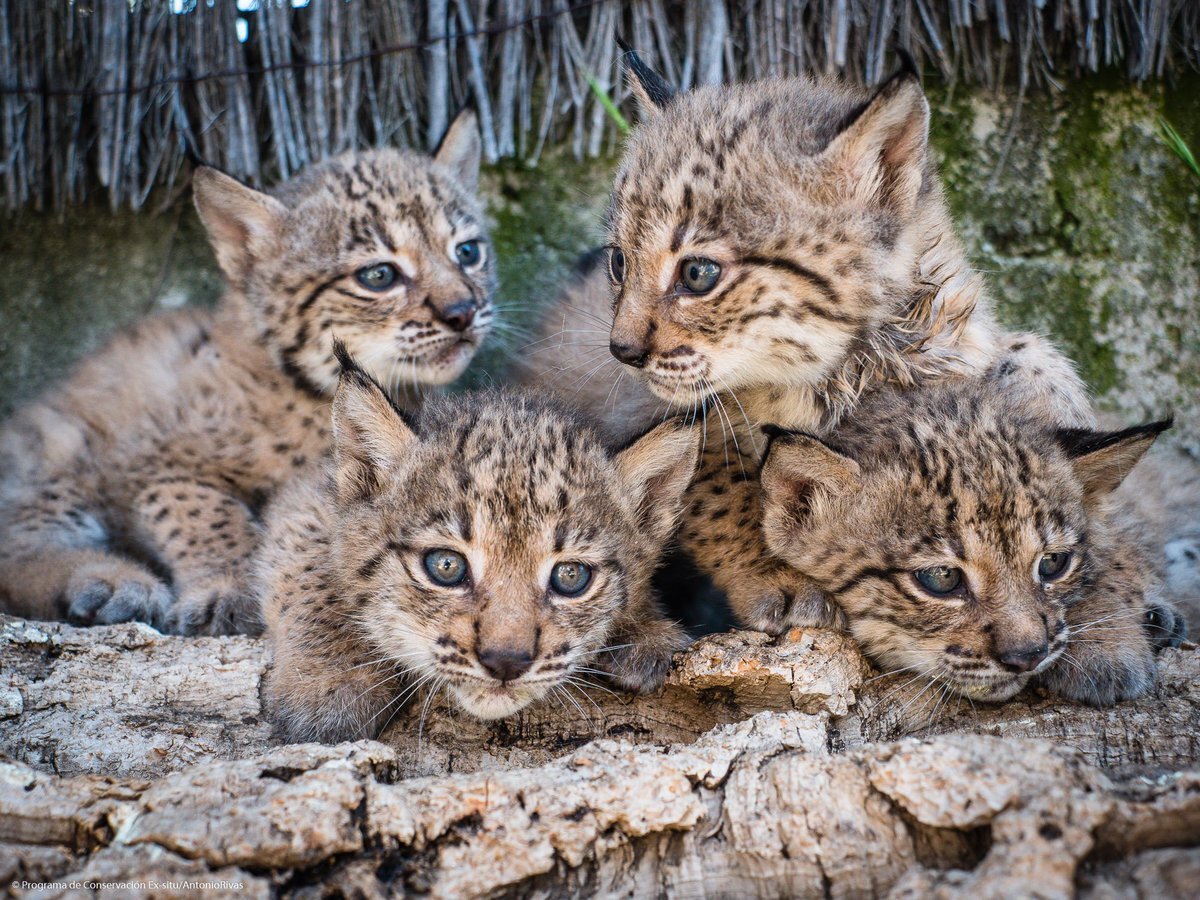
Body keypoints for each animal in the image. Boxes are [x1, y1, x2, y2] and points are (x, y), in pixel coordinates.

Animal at [0, 111, 492, 633]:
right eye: (378, 276)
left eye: (468, 253)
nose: (463, 311)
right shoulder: (151, 465)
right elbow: (208, 514)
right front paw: (231, 589)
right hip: (62, 447)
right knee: (17, 549)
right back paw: (114, 581)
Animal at [258, 345, 700, 739]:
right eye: (446, 566)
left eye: (571, 576)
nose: (505, 662)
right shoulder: (303, 500)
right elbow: (318, 574)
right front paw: (328, 685)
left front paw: (647, 630)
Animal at [520, 47, 1094, 633]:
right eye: (619, 262)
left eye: (698, 274)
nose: (623, 352)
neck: (851, 367)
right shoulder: (648, 415)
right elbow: (720, 482)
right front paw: (782, 576)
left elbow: (1032, 362)